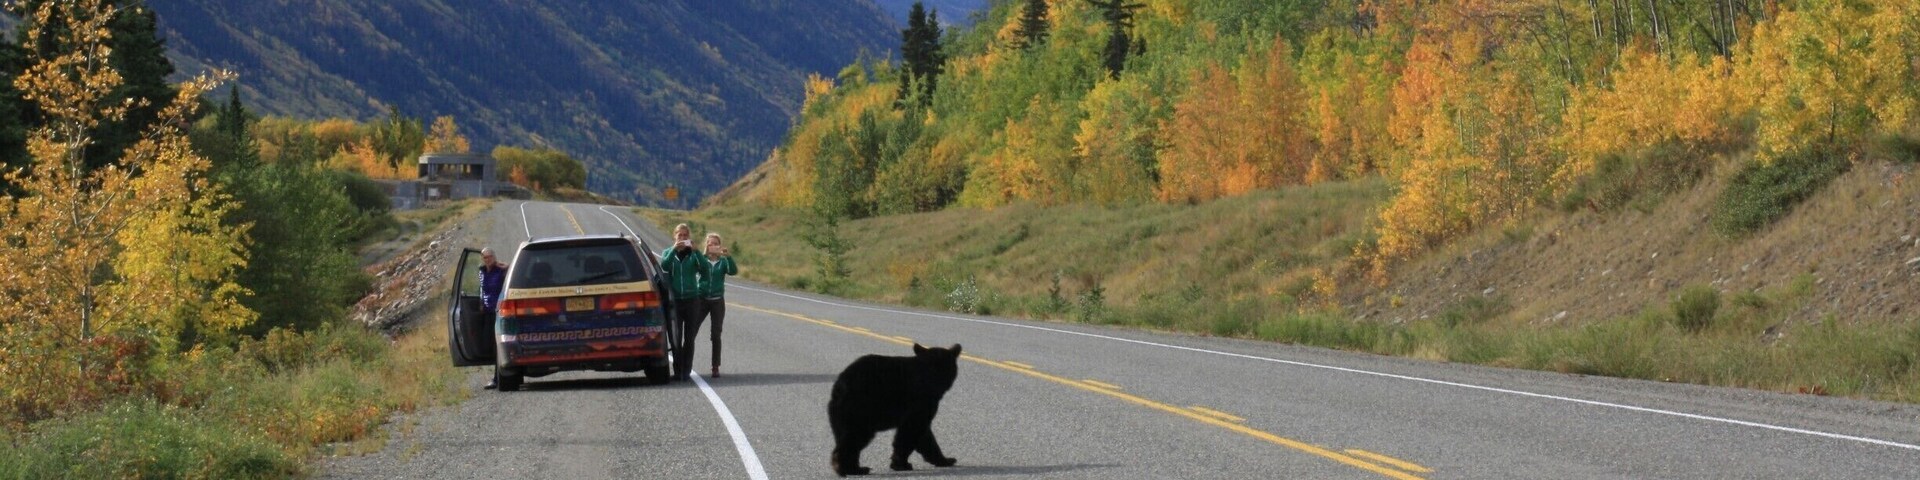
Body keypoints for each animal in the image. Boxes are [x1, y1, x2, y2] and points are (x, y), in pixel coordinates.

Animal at [828, 343, 963, 477]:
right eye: (929, 368)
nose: (933, 382)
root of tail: (839, 387)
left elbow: (922, 434)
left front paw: (945, 459)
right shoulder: (919, 402)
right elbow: (912, 430)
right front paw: (901, 464)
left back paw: (856, 468)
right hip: (861, 409)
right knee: (855, 437)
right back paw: (847, 469)